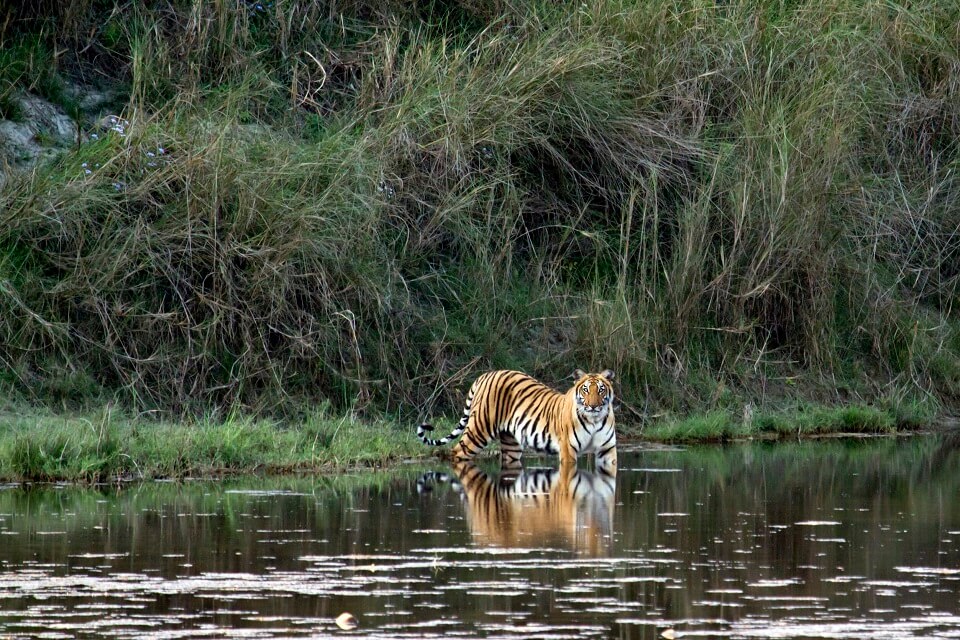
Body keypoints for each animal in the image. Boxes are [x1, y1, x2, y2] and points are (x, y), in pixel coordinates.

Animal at [416, 368, 620, 472]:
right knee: (456, 452)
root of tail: (485, 375)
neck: (594, 419)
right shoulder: (568, 450)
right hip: (479, 430)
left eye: (601, 390)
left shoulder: (607, 450)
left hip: (511, 443)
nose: (593, 406)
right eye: (585, 390)